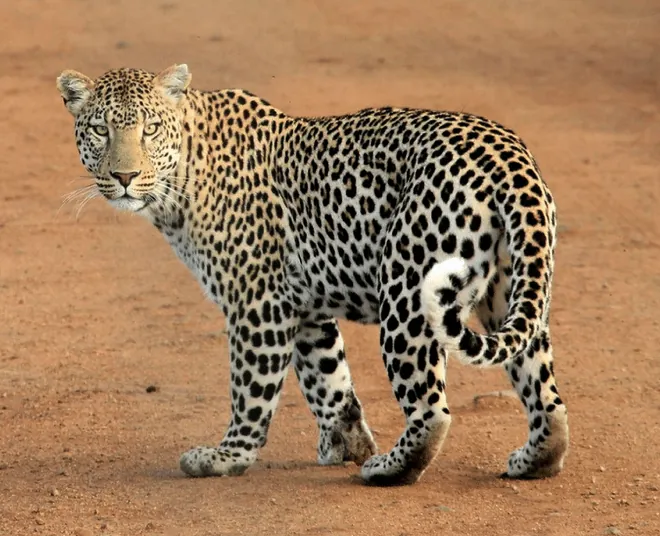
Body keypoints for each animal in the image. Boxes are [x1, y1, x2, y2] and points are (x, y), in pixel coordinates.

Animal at [56, 64, 569, 486]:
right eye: (100, 130)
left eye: (150, 129)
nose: (124, 177)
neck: (182, 177)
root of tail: (509, 157)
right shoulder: (303, 307)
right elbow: (329, 380)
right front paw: (346, 442)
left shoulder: (258, 303)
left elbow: (251, 389)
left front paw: (227, 457)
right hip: (512, 290)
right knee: (545, 393)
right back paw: (534, 460)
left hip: (407, 293)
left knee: (431, 410)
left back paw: (388, 469)